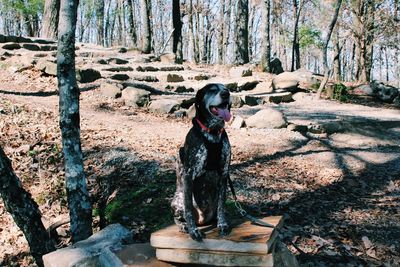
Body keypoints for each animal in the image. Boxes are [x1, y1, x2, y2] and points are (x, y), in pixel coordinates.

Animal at [171, 83, 233, 241]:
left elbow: (221, 206)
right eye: (212, 89)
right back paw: (184, 226)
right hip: (177, 201)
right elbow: (188, 209)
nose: (226, 94)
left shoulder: (224, 173)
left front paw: (222, 224)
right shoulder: (188, 175)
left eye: (226, 88)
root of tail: (202, 220)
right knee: (179, 217)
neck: (213, 132)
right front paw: (193, 231)